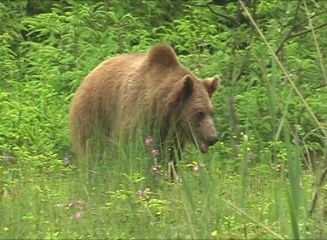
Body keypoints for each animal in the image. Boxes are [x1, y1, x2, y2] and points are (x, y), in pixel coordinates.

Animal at [70, 44, 222, 160]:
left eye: (211, 112)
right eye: (199, 113)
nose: (213, 137)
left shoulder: (170, 133)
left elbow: (171, 156)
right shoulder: (138, 113)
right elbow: (131, 146)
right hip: (95, 112)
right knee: (92, 147)